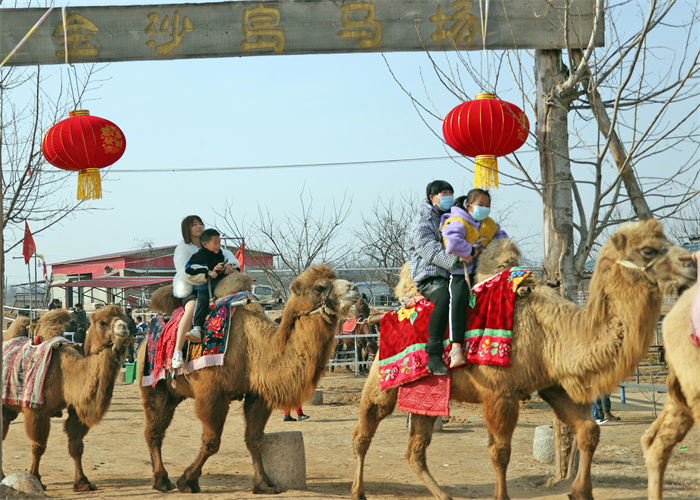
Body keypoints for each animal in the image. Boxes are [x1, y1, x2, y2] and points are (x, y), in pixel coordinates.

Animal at [2, 304, 131, 492]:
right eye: (102, 322)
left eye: (125, 318)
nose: (124, 328)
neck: (67, 374)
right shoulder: (36, 411)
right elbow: (38, 447)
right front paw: (36, 478)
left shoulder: (76, 409)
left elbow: (76, 445)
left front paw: (82, 482)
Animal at [141, 266, 360, 492]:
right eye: (319, 287)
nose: (355, 288)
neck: (254, 347)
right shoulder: (212, 395)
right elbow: (212, 441)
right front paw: (188, 481)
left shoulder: (257, 395)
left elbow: (255, 439)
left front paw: (264, 484)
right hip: (154, 385)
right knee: (153, 430)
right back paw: (161, 480)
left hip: (173, 393)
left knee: (157, 429)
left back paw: (160, 478)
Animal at [350, 221, 696, 500]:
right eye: (649, 249)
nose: (690, 264)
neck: (552, 331)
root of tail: (388, 312)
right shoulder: (499, 392)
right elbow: (500, 452)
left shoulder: (553, 385)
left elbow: (588, 431)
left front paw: (579, 492)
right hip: (382, 377)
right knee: (364, 430)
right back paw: (358, 492)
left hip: (427, 393)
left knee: (416, 449)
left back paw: (443, 496)